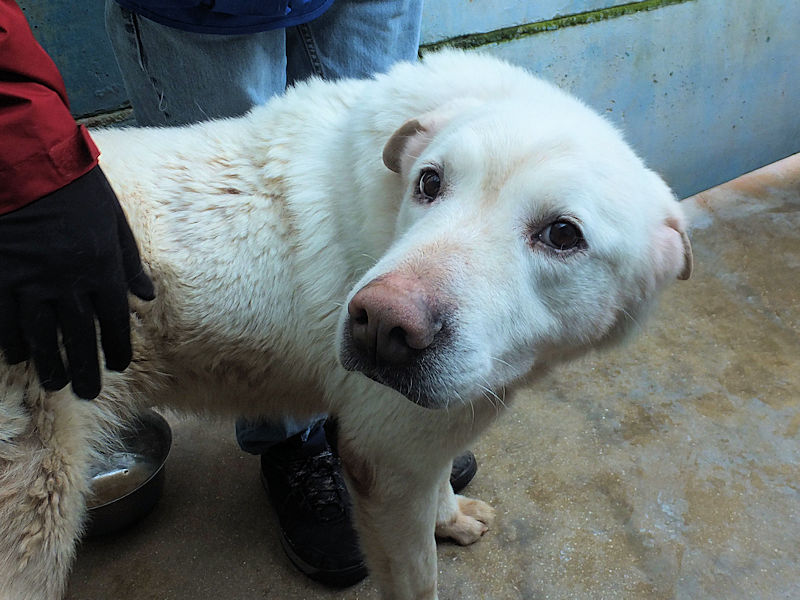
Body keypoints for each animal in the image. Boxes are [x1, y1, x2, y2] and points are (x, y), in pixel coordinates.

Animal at [0, 50, 692, 599]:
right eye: (430, 182)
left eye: (563, 235)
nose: (379, 324)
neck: (382, 209)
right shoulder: (384, 463)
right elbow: (418, 579)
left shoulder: (424, 432)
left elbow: (439, 482)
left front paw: (450, 517)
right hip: (36, 516)